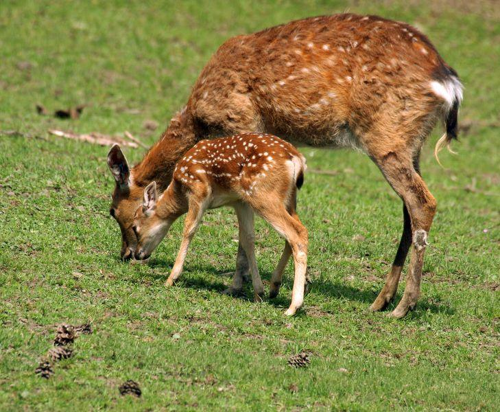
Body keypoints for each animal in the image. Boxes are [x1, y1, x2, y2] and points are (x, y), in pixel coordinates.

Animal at [130, 132, 308, 316]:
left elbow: (189, 229)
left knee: (298, 232)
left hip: (262, 194)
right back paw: (274, 287)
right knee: (292, 235)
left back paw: (293, 307)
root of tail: (296, 159)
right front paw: (258, 293)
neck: (179, 190)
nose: (136, 254)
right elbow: (248, 239)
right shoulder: (240, 202)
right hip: (286, 199)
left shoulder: (198, 189)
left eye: (134, 227)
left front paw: (171, 278)